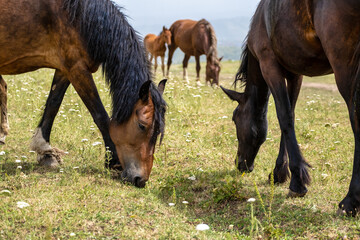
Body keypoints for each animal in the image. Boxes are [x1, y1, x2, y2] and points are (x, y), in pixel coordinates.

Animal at [0, 0, 167, 188]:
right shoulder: (77, 68)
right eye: (141, 125)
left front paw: (45, 151)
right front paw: (114, 161)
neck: (78, 17)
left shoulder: (65, 68)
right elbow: (100, 116)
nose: (141, 180)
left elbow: (53, 105)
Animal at [221, 0, 360, 217]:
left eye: (235, 119)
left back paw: (350, 201)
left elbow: (284, 117)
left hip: (344, 66)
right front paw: (279, 172)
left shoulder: (269, 65)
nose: (240, 164)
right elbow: (291, 115)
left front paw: (297, 181)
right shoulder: (295, 73)